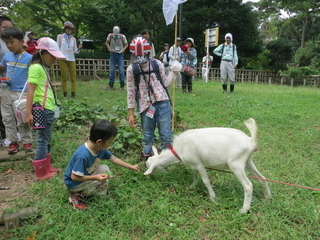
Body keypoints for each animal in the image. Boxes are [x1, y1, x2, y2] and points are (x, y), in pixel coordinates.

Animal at [144, 118, 272, 214]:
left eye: (151, 168)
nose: (150, 177)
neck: (179, 151)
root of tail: (250, 141)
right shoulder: (194, 163)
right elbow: (195, 175)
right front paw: (192, 186)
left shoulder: (199, 163)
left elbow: (205, 180)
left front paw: (212, 198)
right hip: (248, 161)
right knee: (262, 178)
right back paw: (267, 198)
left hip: (236, 164)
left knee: (248, 186)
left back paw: (244, 210)